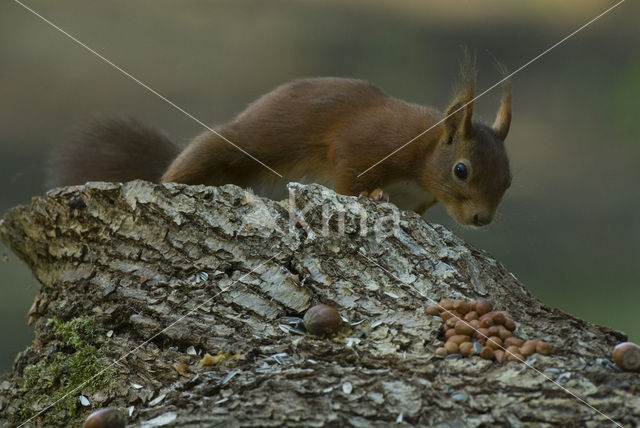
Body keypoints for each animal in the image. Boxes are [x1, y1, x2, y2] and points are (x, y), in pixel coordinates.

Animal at [51, 57, 510, 227]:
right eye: (461, 170)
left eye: (508, 180)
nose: (482, 219)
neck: (422, 154)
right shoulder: (365, 142)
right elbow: (348, 175)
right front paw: (372, 196)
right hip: (222, 148)